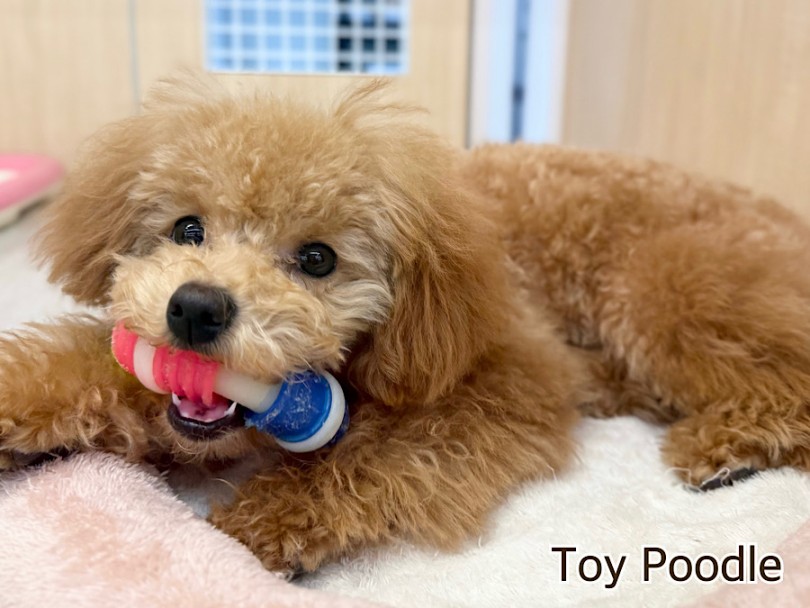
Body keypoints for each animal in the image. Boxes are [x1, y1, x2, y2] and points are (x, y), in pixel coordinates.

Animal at [1, 76, 808, 573]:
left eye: (318, 259)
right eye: (187, 228)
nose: (196, 308)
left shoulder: (508, 382)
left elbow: (381, 457)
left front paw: (262, 523)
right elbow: (91, 371)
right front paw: (16, 406)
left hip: (665, 286)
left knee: (787, 382)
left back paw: (725, 444)